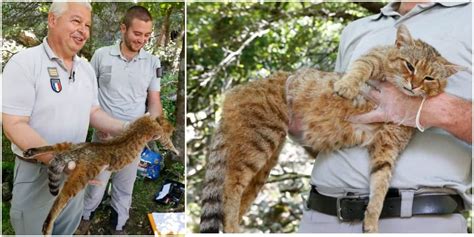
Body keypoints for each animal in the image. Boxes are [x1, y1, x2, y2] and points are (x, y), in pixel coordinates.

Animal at [22, 115, 178, 235]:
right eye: (171, 131)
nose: (174, 131)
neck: (151, 120)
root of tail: (79, 151)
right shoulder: (159, 132)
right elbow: (168, 142)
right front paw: (176, 150)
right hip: (81, 177)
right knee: (61, 198)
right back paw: (47, 225)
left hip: (70, 145)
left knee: (55, 146)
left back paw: (32, 151)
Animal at [200, 24, 462, 233]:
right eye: (409, 66)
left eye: (429, 78)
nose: (414, 85)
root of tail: (236, 90)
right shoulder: (375, 56)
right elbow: (360, 68)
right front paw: (346, 86)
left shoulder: (387, 147)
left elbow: (380, 185)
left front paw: (372, 221)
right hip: (259, 139)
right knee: (230, 186)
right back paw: (233, 227)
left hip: (264, 160)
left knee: (237, 195)